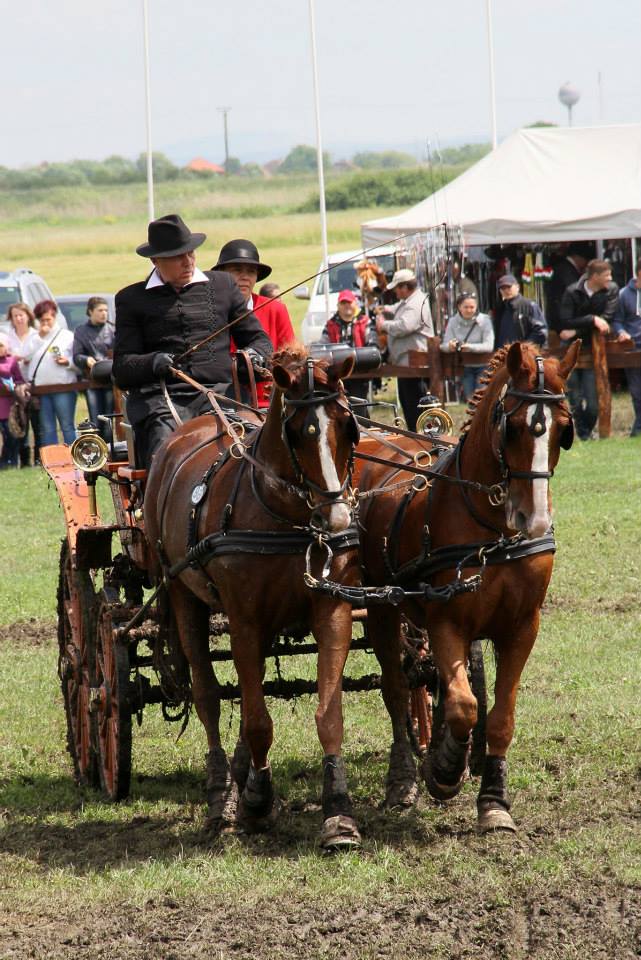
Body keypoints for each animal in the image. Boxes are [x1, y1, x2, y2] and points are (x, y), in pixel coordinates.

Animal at [146, 344, 364, 848]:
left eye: (348, 425)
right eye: (299, 433)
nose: (337, 519)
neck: (285, 517)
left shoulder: (333, 609)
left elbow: (328, 713)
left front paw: (338, 813)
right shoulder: (244, 621)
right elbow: (257, 720)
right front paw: (259, 800)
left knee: (248, 693)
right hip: (183, 595)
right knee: (208, 694)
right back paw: (220, 794)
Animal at [358, 342, 576, 828]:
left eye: (564, 429)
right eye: (513, 426)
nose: (534, 520)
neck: (492, 526)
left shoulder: (522, 626)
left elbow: (499, 716)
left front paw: (493, 799)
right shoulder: (447, 621)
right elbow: (464, 705)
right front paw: (444, 771)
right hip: (380, 605)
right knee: (396, 688)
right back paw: (403, 779)